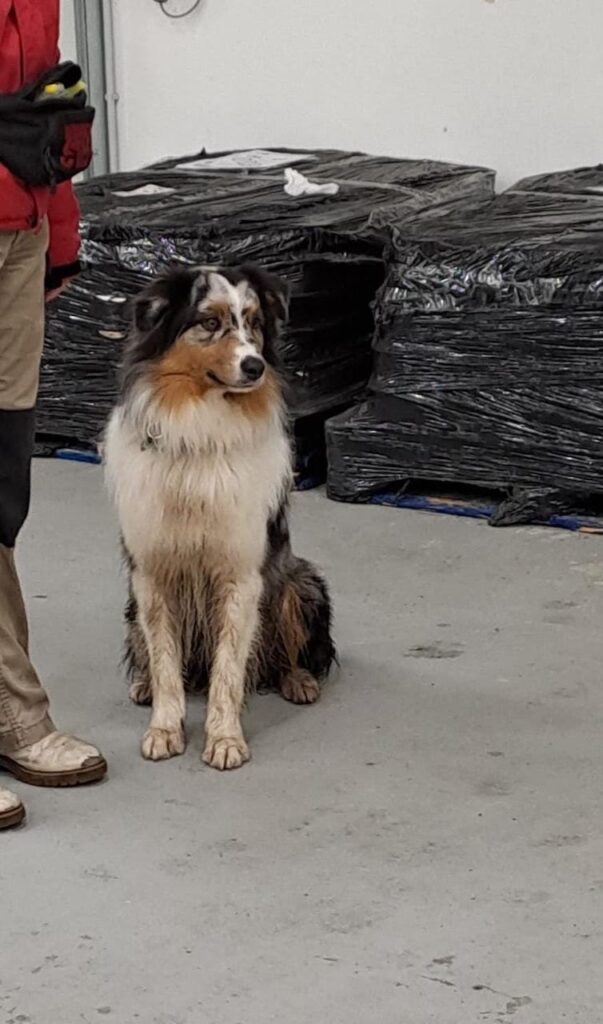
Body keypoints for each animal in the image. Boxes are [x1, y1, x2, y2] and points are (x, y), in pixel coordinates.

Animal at [104, 263, 335, 770]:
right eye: (209, 322)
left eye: (254, 322)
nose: (255, 366)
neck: (202, 425)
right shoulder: (151, 574)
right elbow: (165, 661)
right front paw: (165, 729)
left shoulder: (241, 574)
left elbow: (228, 670)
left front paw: (226, 740)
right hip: (131, 603)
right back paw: (143, 685)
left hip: (298, 582)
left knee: (284, 653)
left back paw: (298, 681)